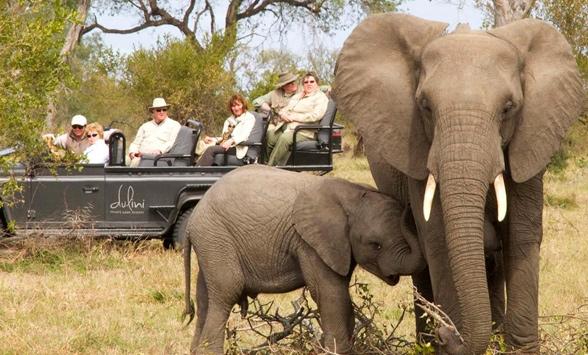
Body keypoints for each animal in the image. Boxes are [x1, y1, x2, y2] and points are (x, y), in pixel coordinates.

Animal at [184, 165, 422, 354]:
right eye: (375, 245)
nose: (410, 207)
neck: (353, 195)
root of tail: (193, 217)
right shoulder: (310, 243)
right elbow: (329, 292)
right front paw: (335, 351)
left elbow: (341, 292)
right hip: (216, 237)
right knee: (226, 293)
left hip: (211, 243)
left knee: (204, 297)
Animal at [334, 12, 584, 355]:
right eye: (425, 106)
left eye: (509, 108)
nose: (448, 333)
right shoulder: (417, 150)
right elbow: (437, 237)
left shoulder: (531, 139)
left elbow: (521, 233)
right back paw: (429, 340)